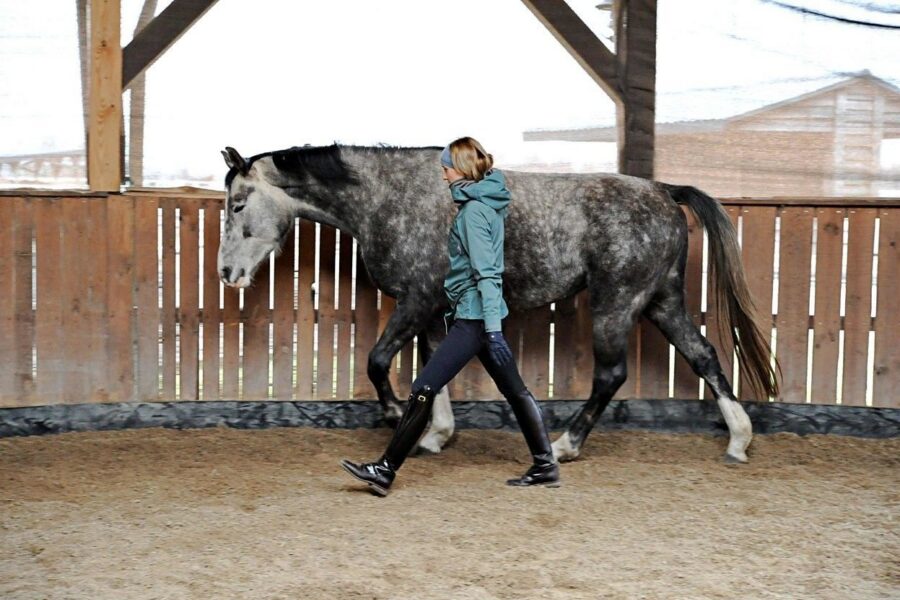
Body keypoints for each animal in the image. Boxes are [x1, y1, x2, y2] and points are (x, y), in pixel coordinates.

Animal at [217, 143, 779, 464]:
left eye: (238, 204)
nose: (227, 273)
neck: (388, 197)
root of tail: (663, 191)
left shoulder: (416, 300)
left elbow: (380, 362)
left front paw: (396, 415)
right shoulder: (433, 308)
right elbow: (432, 370)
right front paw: (435, 435)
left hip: (616, 302)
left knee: (611, 375)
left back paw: (565, 445)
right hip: (661, 300)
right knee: (704, 355)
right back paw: (737, 441)